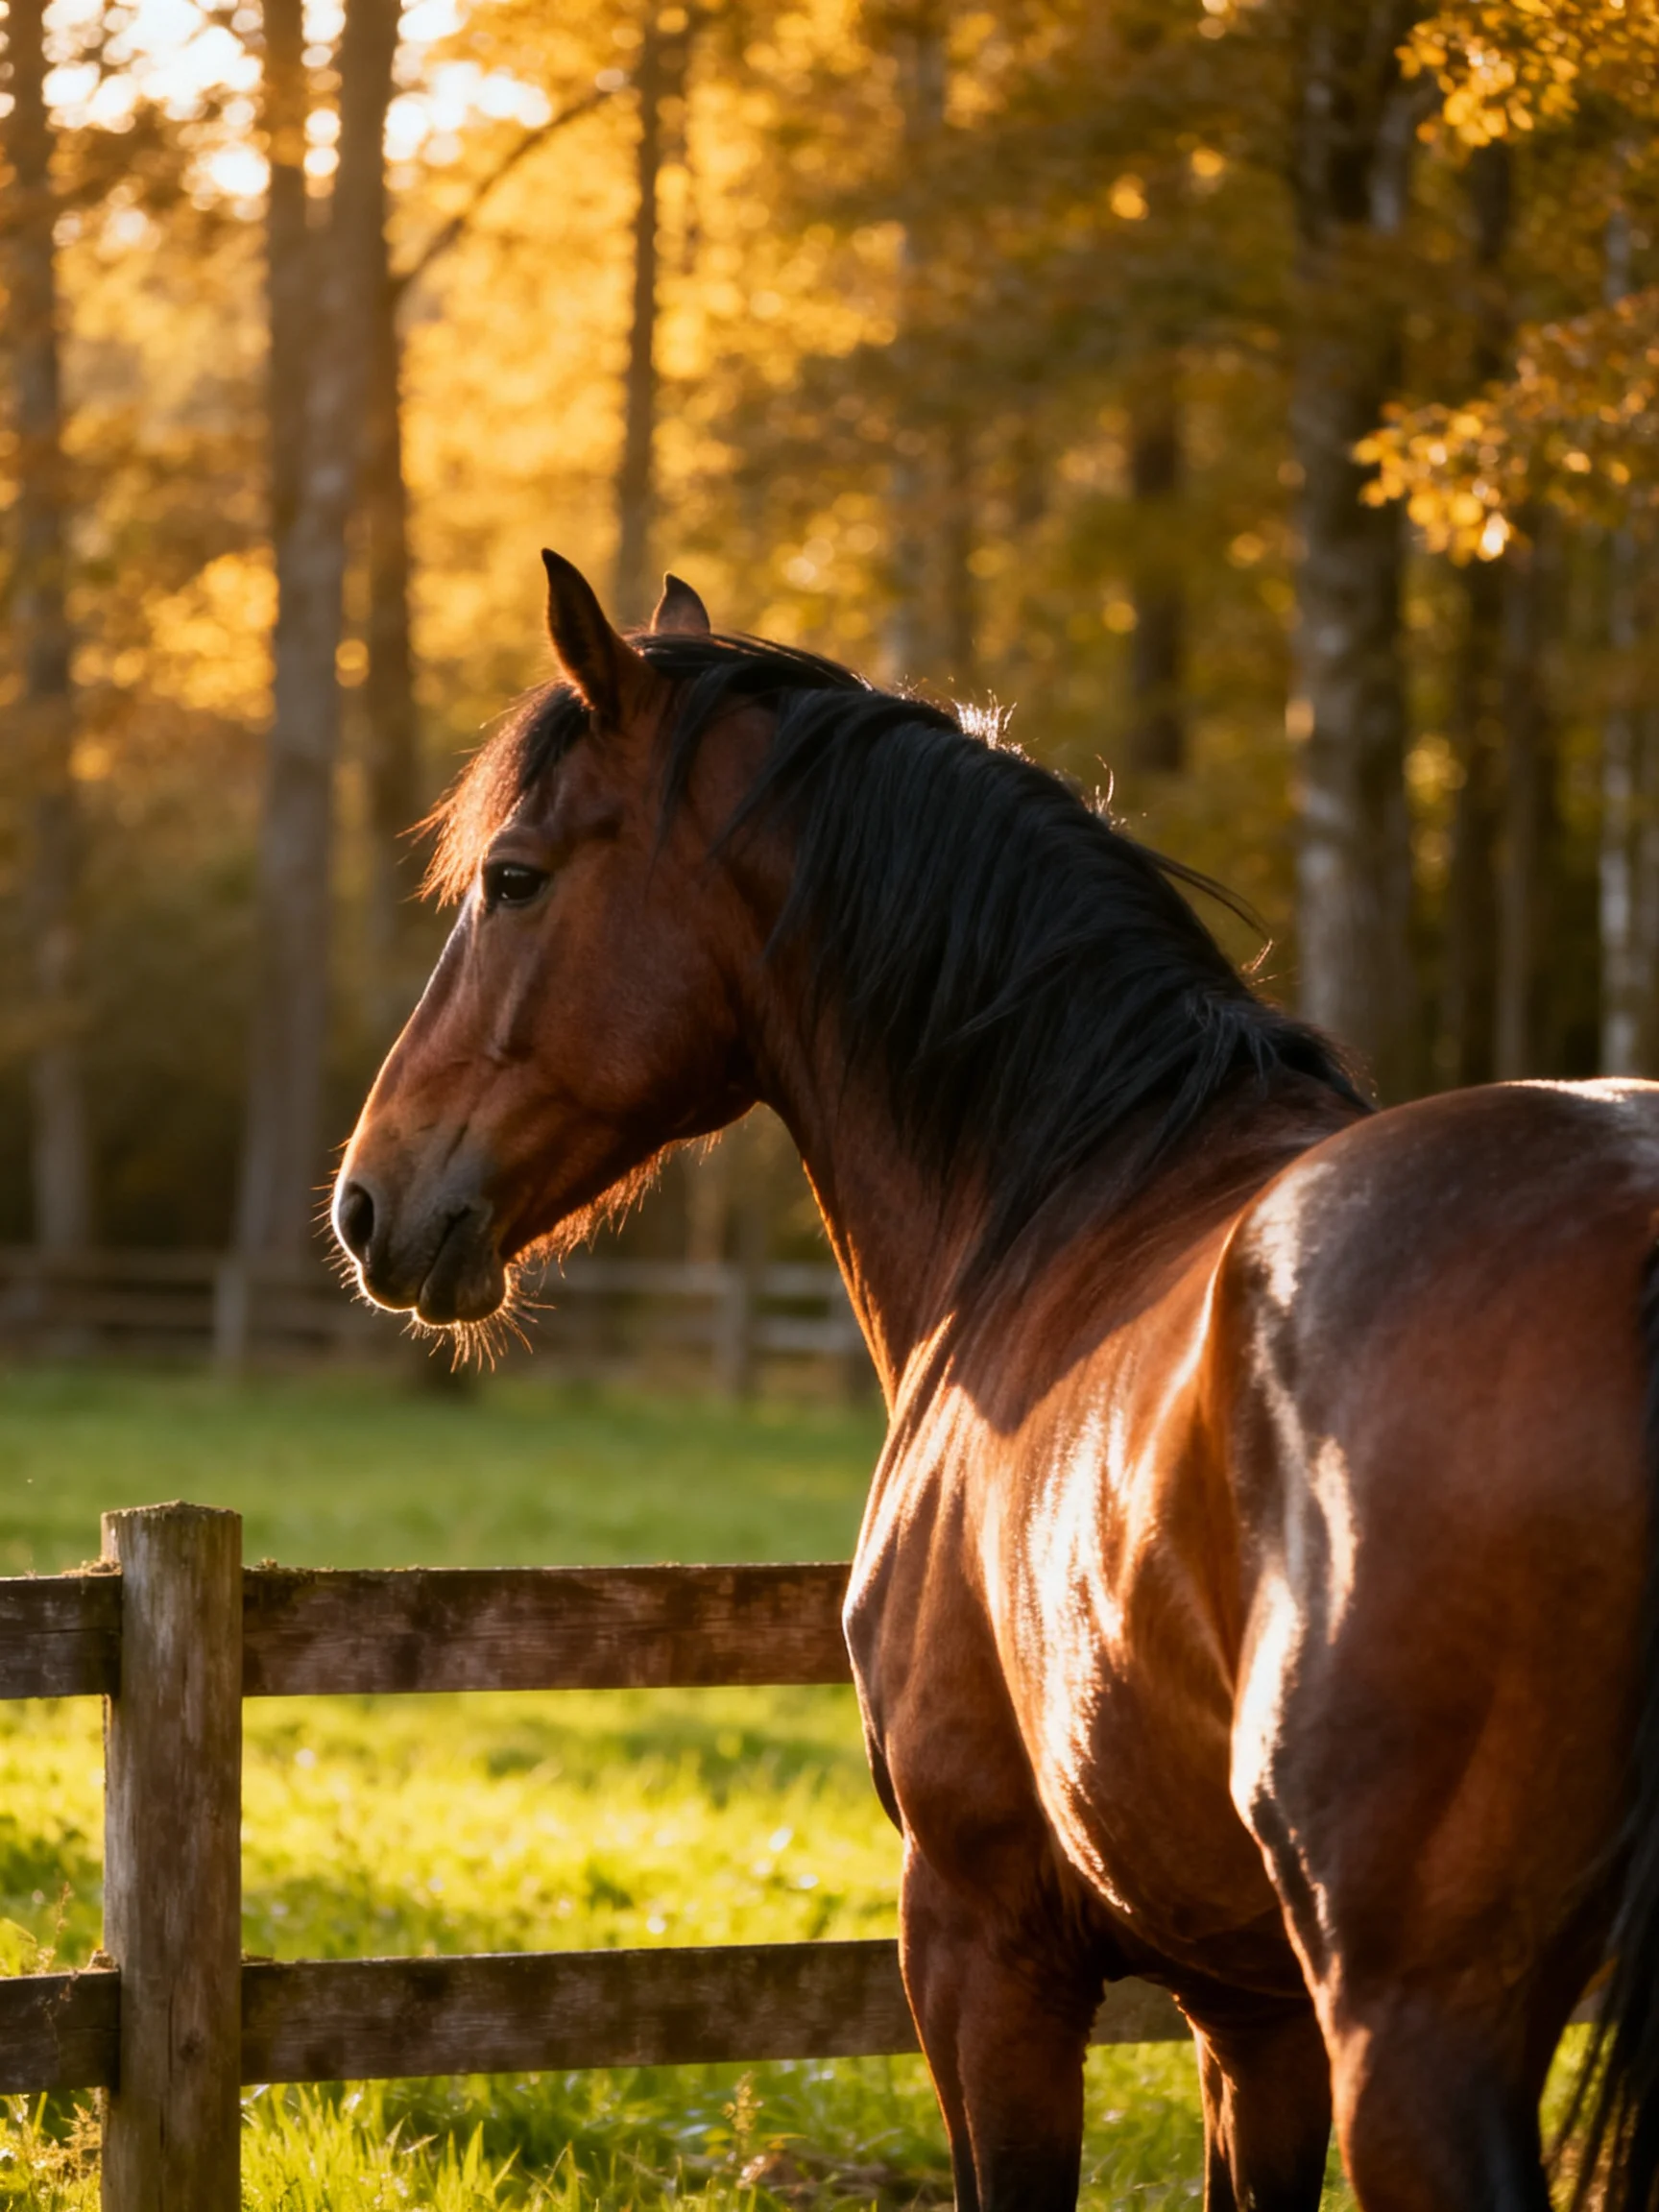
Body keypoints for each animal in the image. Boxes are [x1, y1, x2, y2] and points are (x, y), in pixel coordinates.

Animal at [334, 550, 1659, 2212]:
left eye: (513, 878)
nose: (368, 1201)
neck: (1072, 1185)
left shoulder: (979, 1945)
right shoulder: (1256, 2011)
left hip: (1419, 2027)